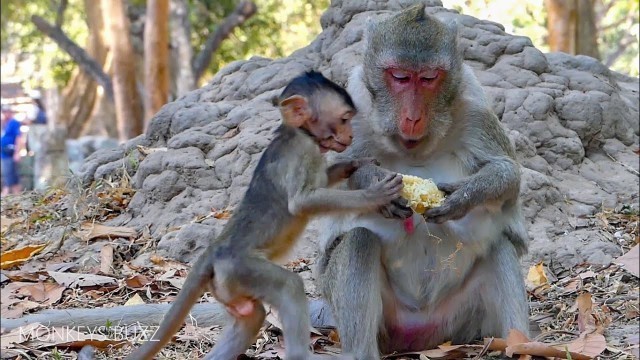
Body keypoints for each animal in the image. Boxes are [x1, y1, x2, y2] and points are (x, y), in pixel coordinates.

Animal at [127, 70, 402, 360]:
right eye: (345, 119)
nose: (350, 135)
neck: (296, 132)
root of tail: (213, 252)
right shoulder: (302, 153)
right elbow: (302, 202)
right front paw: (375, 195)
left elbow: (325, 180)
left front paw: (356, 164)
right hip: (240, 269)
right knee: (289, 287)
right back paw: (301, 354)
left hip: (228, 288)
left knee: (251, 318)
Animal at [316, 2, 528, 358]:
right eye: (400, 77)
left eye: (429, 78)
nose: (413, 117)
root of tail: (420, 335)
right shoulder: (352, 110)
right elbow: (330, 181)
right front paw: (378, 188)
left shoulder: (474, 106)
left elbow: (508, 175)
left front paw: (466, 196)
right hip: (386, 323)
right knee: (359, 240)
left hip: (458, 322)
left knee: (498, 245)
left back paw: (522, 345)